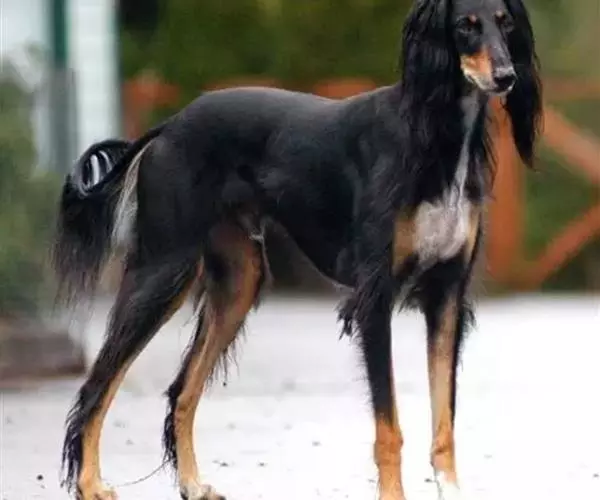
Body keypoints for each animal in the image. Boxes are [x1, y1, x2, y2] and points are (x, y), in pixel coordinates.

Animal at [52, 0, 541, 498]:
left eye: (505, 22)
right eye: (466, 25)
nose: (505, 76)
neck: (434, 138)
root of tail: (170, 125)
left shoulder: (446, 296)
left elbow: (445, 424)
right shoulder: (374, 297)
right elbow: (389, 428)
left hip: (238, 281)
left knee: (182, 390)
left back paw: (191, 483)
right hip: (162, 270)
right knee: (97, 385)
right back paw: (91, 484)